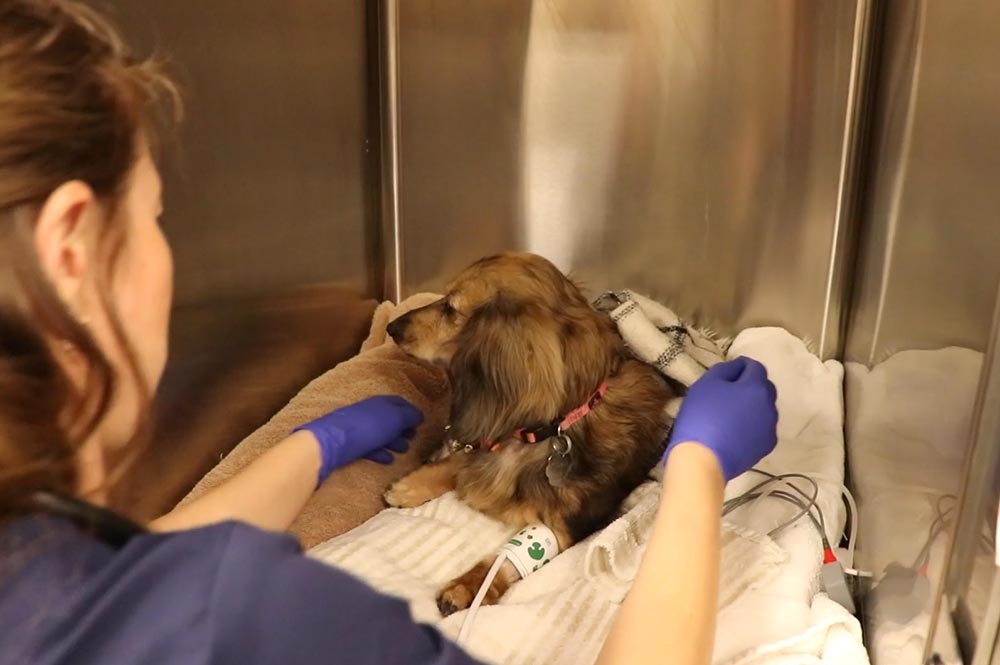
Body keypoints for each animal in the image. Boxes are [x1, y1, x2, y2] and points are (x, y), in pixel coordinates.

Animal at [382, 253, 672, 612]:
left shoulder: (563, 527)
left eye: (450, 308)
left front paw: (467, 587)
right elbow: (460, 463)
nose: (391, 328)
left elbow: (505, 561)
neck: (549, 430)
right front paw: (412, 486)